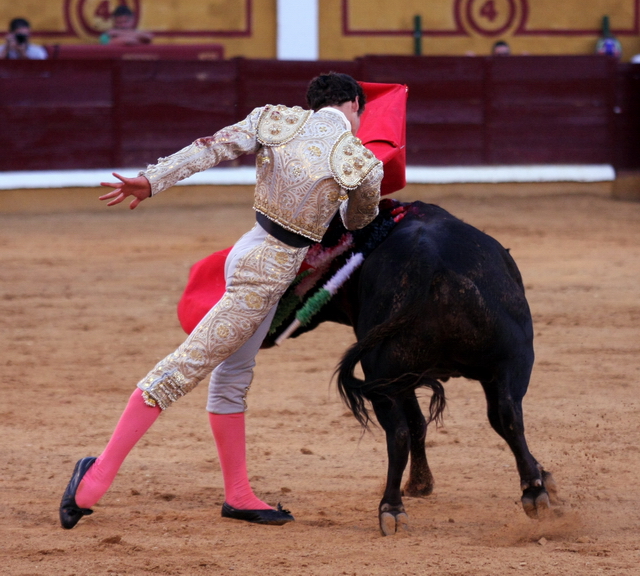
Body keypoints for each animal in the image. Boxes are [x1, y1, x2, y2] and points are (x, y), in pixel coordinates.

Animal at [260, 199, 556, 536]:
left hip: (399, 377)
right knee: (506, 416)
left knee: (409, 431)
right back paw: (532, 492)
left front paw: (419, 484)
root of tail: (426, 262)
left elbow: (418, 424)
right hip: (510, 361)